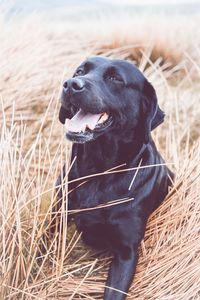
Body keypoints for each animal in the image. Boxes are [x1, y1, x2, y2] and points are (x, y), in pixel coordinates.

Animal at [56, 56, 173, 300]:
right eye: (80, 71)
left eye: (115, 78)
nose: (71, 84)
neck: (98, 170)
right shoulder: (58, 215)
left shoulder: (126, 253)